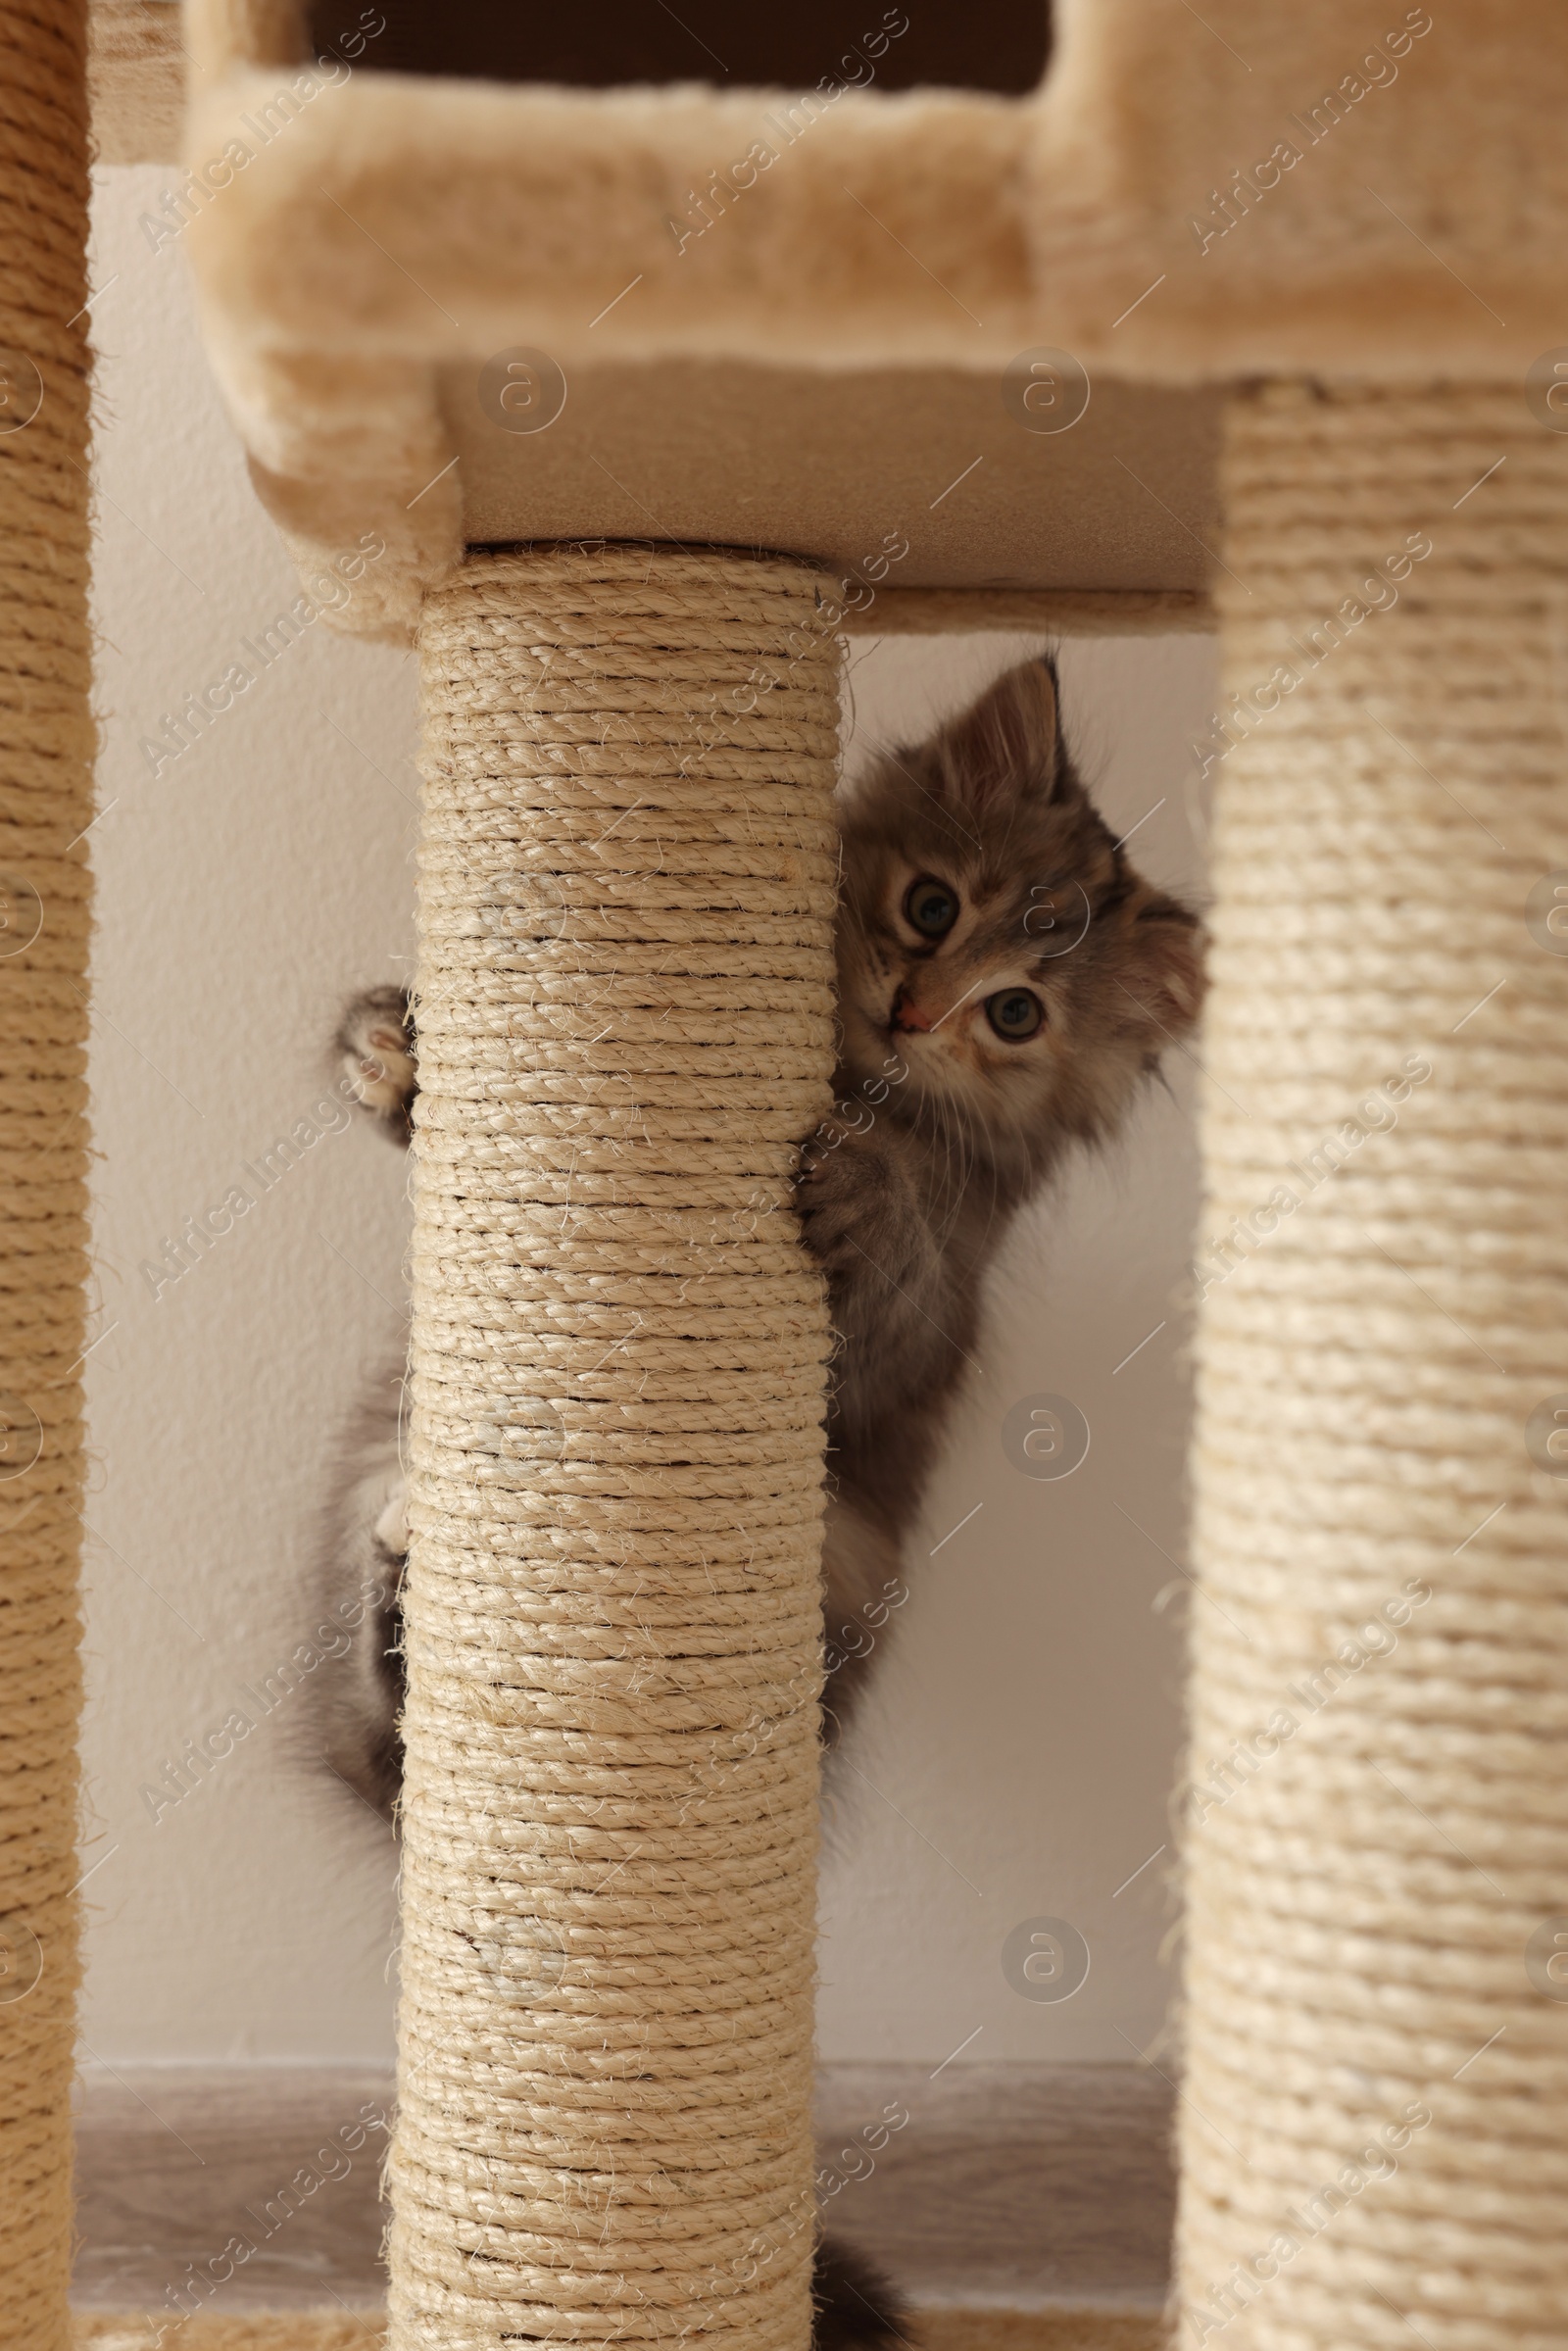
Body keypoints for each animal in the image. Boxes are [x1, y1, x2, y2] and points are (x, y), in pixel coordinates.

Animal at [313, 653, 1212, 2341]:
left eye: (1016, 1013)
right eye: (929, 904)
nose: (915, 1006)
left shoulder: (926, 1310)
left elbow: (897, 1262)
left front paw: (859, 1187)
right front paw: (394, 1047)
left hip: (835, 1579)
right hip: (379, 1476)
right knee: (368, 1735)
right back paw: (402, 1613)